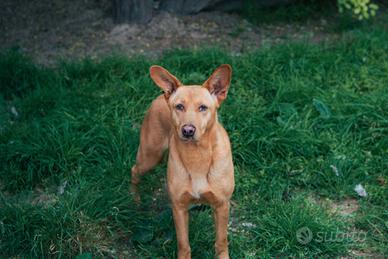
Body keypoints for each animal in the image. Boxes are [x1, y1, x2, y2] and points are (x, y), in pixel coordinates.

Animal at [131, 64, 233, 258]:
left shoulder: (222, 206)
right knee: (134, 171)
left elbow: (221, 242)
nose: (188, 130)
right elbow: (184, 244)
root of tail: (162, 95)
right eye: (179, 106)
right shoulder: (178, 208)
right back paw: (134, 200)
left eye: (203, 107)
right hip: (150, 156)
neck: (197, 156)